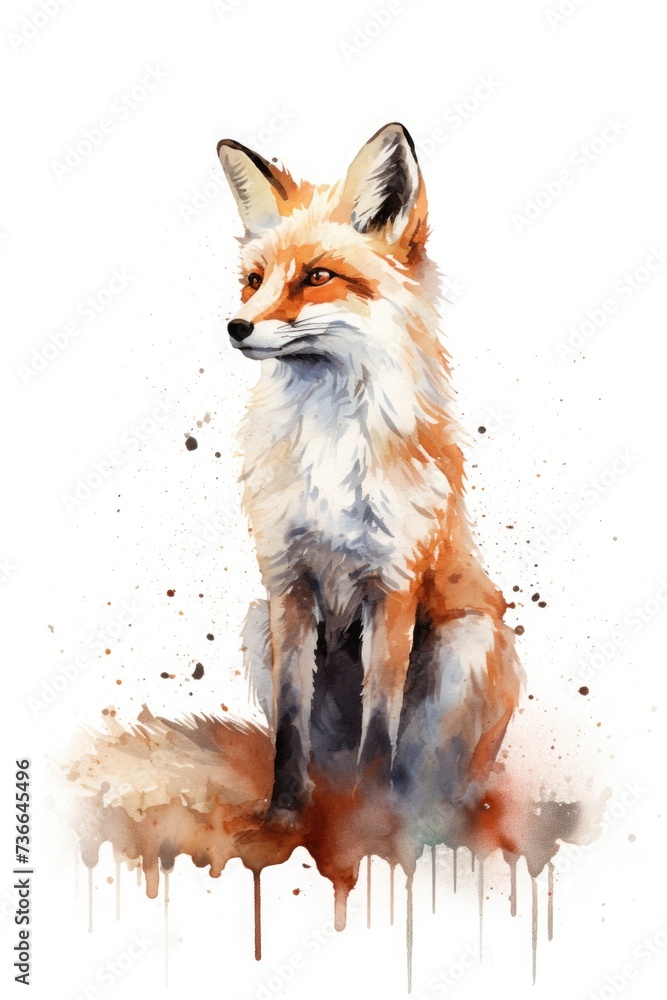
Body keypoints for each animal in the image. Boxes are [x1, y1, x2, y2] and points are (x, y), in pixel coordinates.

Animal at [217, 123, 523, 822]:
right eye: (254, 280)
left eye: (317, 276)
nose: (236, 326)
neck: (330, 446)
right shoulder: (287, 584)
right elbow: (290, 727)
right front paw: (283, 816)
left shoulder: (393, 586)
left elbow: (379, 732)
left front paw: (371, 829)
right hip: (255, 623)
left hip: (467, 645)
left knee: (431, 774)